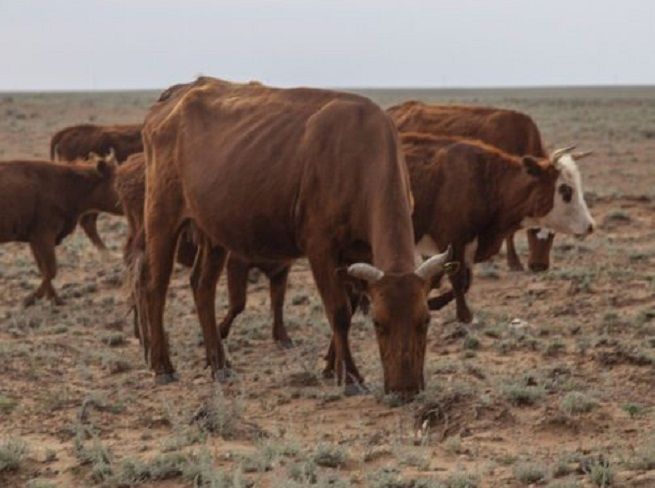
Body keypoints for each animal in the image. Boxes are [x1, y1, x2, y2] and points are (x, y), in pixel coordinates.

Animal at [0, 159, 120, 304]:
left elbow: (44, 269)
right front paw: (30, 298)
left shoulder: (35, 240)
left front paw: (56, 299)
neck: (64, 184)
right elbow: (51, 270)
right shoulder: (44, 236)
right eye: (117, 183)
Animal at [137, 77, 456, 396]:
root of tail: (179, 92)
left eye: (425, 320)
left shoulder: (359, 253)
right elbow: (339, 311)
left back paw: (219, 363)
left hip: (212, 231)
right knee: (155, 286)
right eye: (379, 323)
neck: (358, 153)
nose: (406, 388)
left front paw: (332, 367)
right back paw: (163, 366)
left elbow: (352, 305)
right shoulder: (320, 249)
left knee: (202, 287)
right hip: (161, 217)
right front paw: (350, 377)